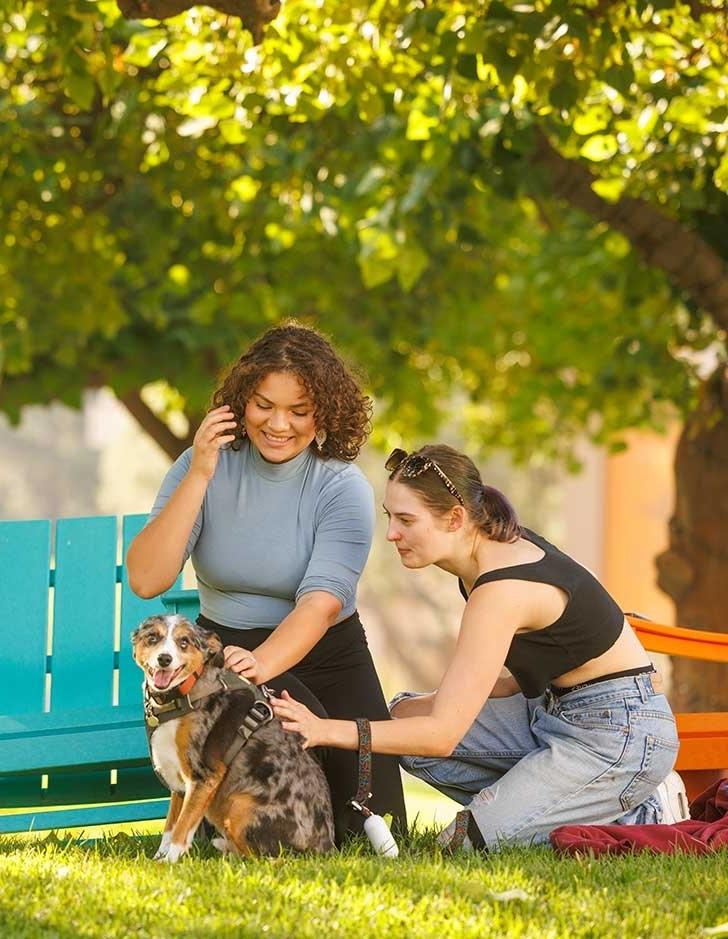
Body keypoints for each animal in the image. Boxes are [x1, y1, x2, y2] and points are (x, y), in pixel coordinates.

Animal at [132, 612, 336, 864]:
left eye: (184, 642)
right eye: (152, 637)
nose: (164, 659)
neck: (181, 696)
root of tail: (327, 847)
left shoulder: (203, 776)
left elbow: (182, 828)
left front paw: (169, 862)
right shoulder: (178, 782)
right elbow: (170, 827)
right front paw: (158, 859)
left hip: (239, 805)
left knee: (265, 858)